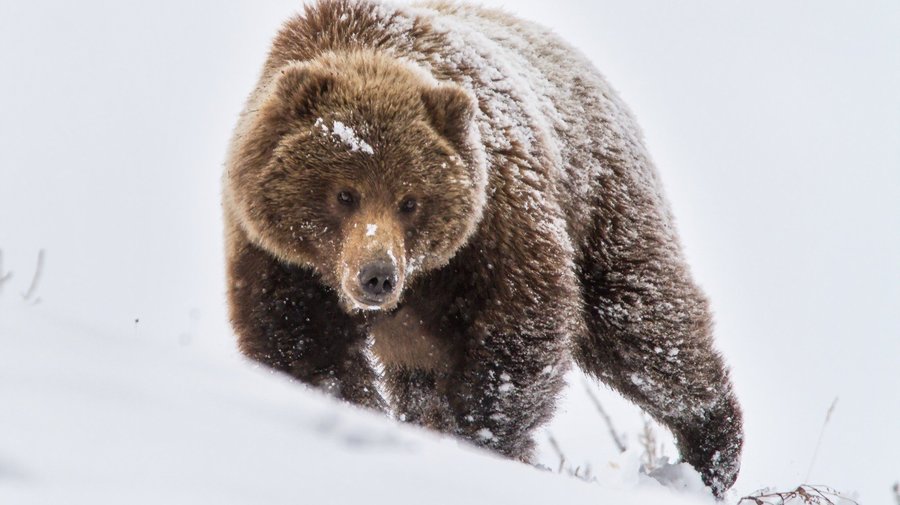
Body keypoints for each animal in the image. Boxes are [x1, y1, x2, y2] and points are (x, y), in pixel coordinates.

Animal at [223, 0, 743, 496]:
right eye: (344, 194)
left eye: (410, 200)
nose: (377, 275)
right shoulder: (280, 259)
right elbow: (305, 349)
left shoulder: (494, 222)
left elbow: (518, 329)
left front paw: (479, 440)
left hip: (602, 201)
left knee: (643, 326)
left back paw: (714, 449)